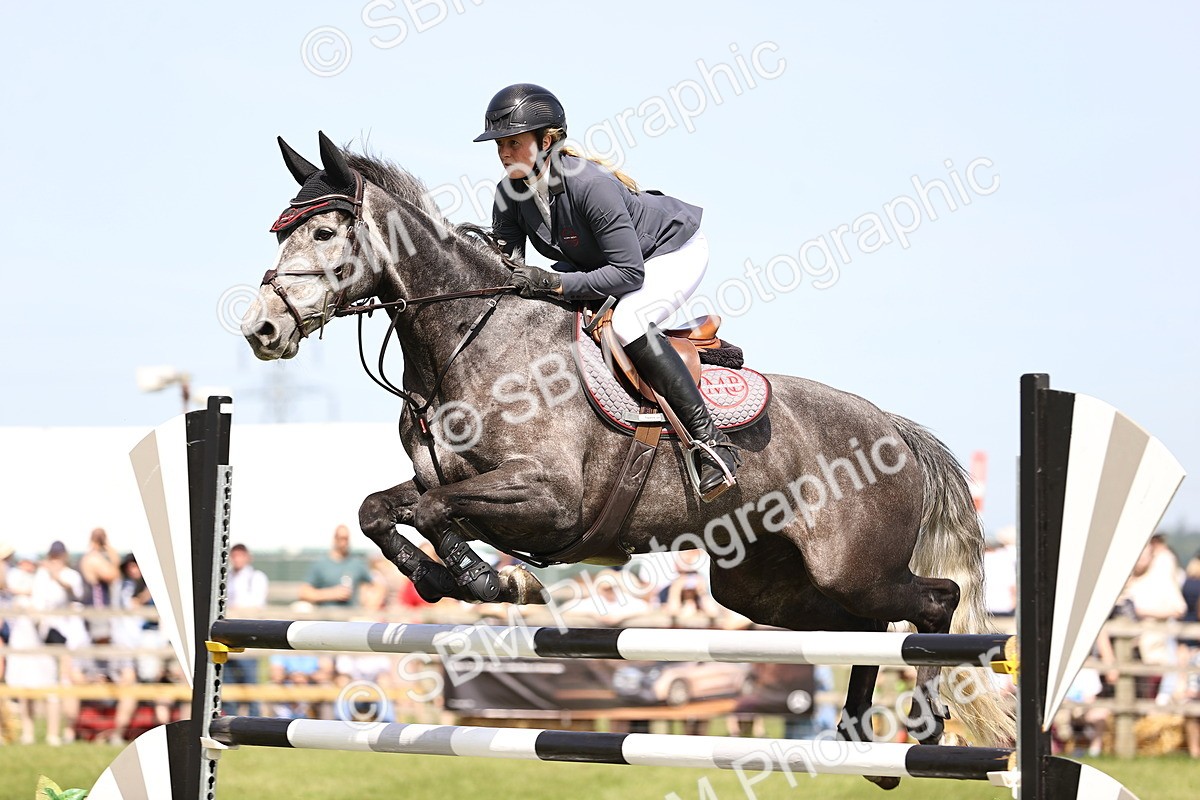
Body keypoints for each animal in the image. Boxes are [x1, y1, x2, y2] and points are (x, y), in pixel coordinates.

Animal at [241, 133, 1015, 787]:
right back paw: (861, 739)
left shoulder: (548, 502)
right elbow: (380, 510)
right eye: (281, 232)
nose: (261, 330)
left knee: (935, 604)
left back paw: (921, 725)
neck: (464, 342)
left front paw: (491, 580)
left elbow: (434, 512)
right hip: (765, 587)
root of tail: (896, 429)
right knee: (865, 629)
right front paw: (444, 578)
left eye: (323, 232)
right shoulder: (454, 484)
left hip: (851, 567)